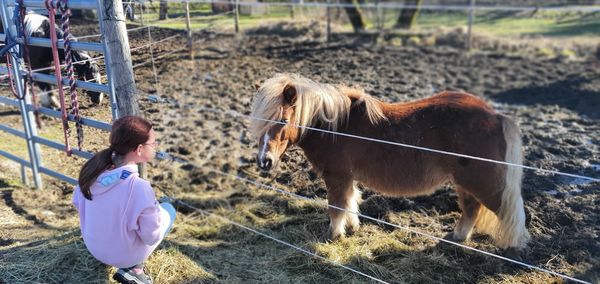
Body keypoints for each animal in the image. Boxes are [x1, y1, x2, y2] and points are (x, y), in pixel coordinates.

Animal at [248, 73, 528, 253]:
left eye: (283, 121)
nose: (264, 161)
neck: (335, 127)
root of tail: (496, 116)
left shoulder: (336, 176)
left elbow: (336, 206)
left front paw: (333, 236)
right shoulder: (347, 177)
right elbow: (350, 202)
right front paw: (352, 228)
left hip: (483, 184)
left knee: (508, 214)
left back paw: (515, 250)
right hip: (466, 183)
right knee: (471, 209)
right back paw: (455, 239)